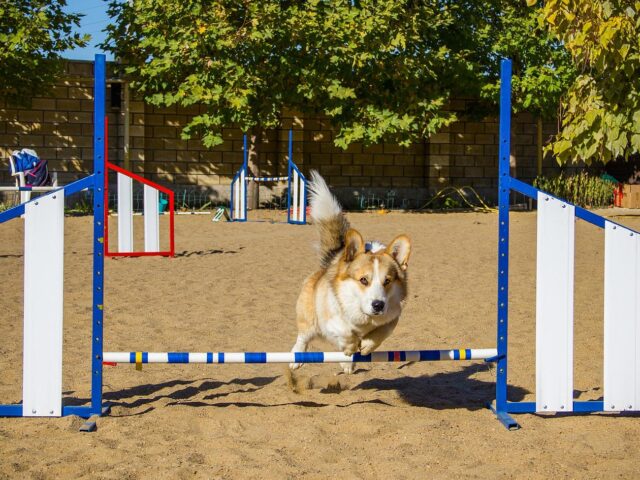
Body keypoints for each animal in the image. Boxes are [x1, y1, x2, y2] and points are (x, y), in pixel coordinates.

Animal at [290, 171, 410, 374]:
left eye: (387, 281)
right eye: (363, 280)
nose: (378, 305)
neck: (365, 317)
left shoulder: (393, 316)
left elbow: (382, 331)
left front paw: (367, 345)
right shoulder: (331, 319)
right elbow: (345, 331)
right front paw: (351, 345)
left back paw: (347, 362)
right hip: (309, 318)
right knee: (303, 336)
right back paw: (296, 358)